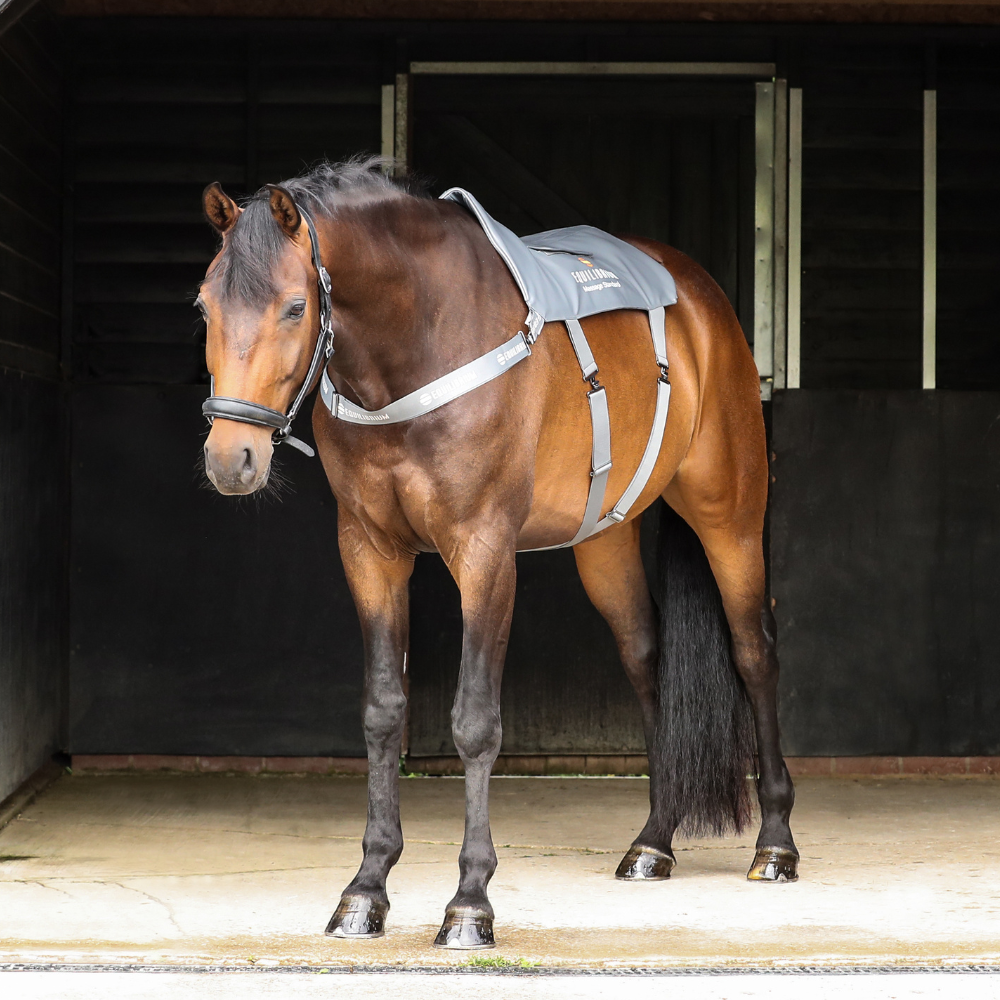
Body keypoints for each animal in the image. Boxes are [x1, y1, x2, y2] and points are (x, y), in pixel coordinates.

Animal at [199, 158, 800, 952]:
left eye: (296, 308)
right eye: (205, 306)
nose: (229, 460)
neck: (417, 346)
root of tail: (703, 299)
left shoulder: (484, 553)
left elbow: (475, 721)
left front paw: (469, 903)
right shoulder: (370, 551)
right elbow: (382, 712)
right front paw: (366, 890)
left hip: (727, 515)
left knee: (756, 652)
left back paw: (776, 844)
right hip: (605, 541)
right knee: (647, 661)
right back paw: (653, 841)